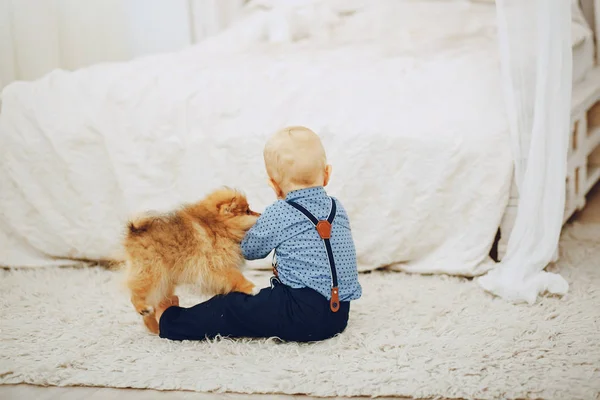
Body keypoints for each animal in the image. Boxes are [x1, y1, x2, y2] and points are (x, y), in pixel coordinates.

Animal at [123, 189, 260, 332]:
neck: (217, 226)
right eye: (247, 211)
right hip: (151, 272)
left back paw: (155, 326)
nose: (260, 214)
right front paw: (251, 287)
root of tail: (133, 232)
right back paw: (143, 309)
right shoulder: (215, 265)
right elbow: (236, 276)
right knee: (135, 293)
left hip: (164, 282)